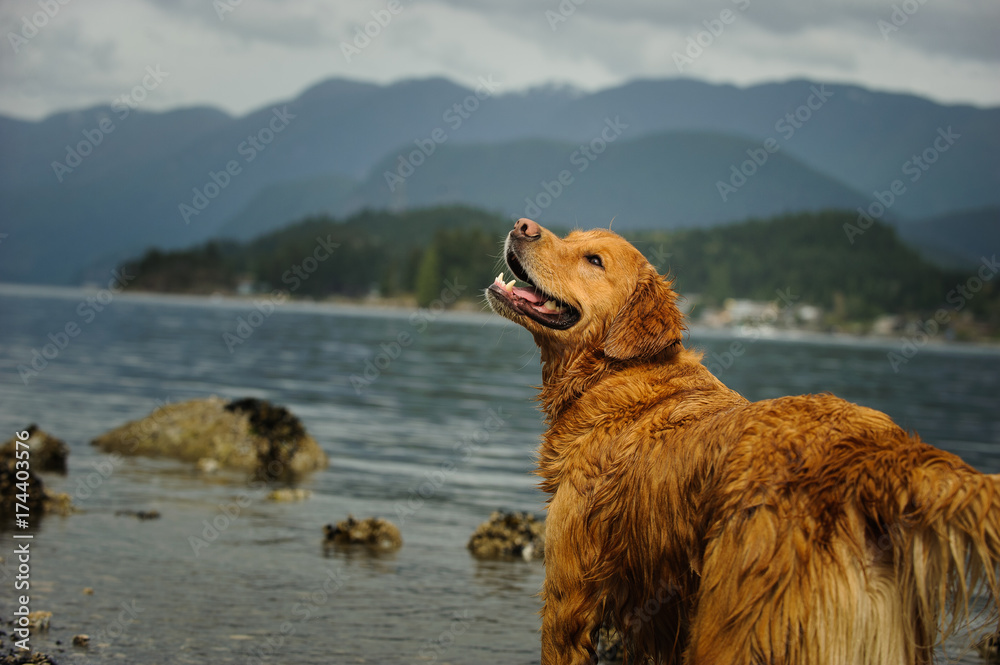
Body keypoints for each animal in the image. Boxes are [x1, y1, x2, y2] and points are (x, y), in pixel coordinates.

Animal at [484, 219, 1000, 664]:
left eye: (594, 260)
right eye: (571, 238)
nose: (523, 225)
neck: (613, 373)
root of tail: (875, 453)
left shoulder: (568, 599)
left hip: (732, 628)